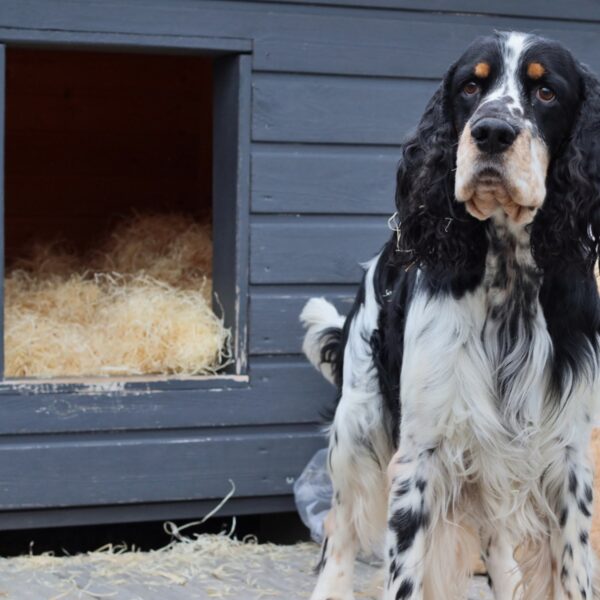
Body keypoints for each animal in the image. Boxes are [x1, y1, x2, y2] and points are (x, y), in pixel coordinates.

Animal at [301, 31, 600, 600]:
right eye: (470, 86)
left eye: (546, 91)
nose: (491, 132)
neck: (508, 273)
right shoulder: (423, 454)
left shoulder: (567, 455)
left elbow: (573, 571)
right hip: (358, 425)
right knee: (338, 529)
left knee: (498, 547)